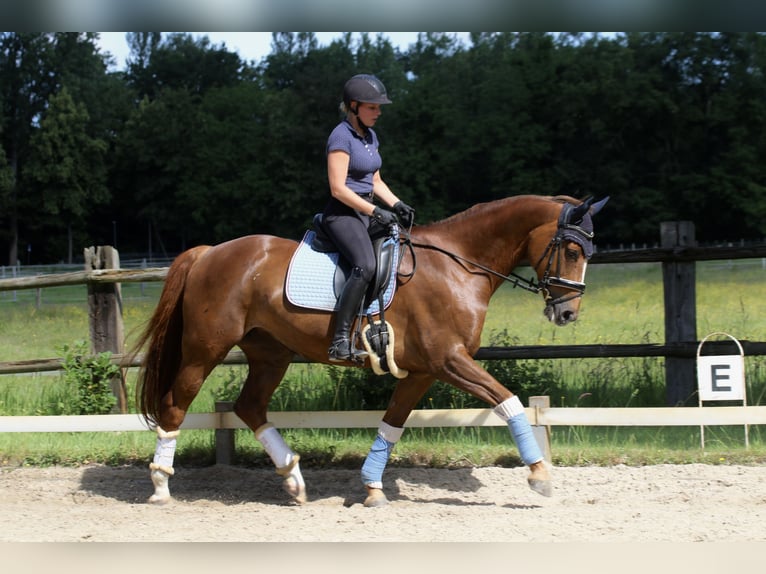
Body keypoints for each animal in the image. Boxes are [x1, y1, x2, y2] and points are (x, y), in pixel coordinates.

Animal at [135, 195, 608, 508]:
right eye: (571, 249)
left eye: (589, 250)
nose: (567, 312)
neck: (459, 265)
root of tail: (209, 252)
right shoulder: (449, 360)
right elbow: (508, 401)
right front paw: (540, 476)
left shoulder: (424, 371)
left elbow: (392, 424)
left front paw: (372, 487)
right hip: (204, 350)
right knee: (175, 405)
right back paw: (160, 485)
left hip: (271, 354)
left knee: (250, 406)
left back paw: (294, 479)